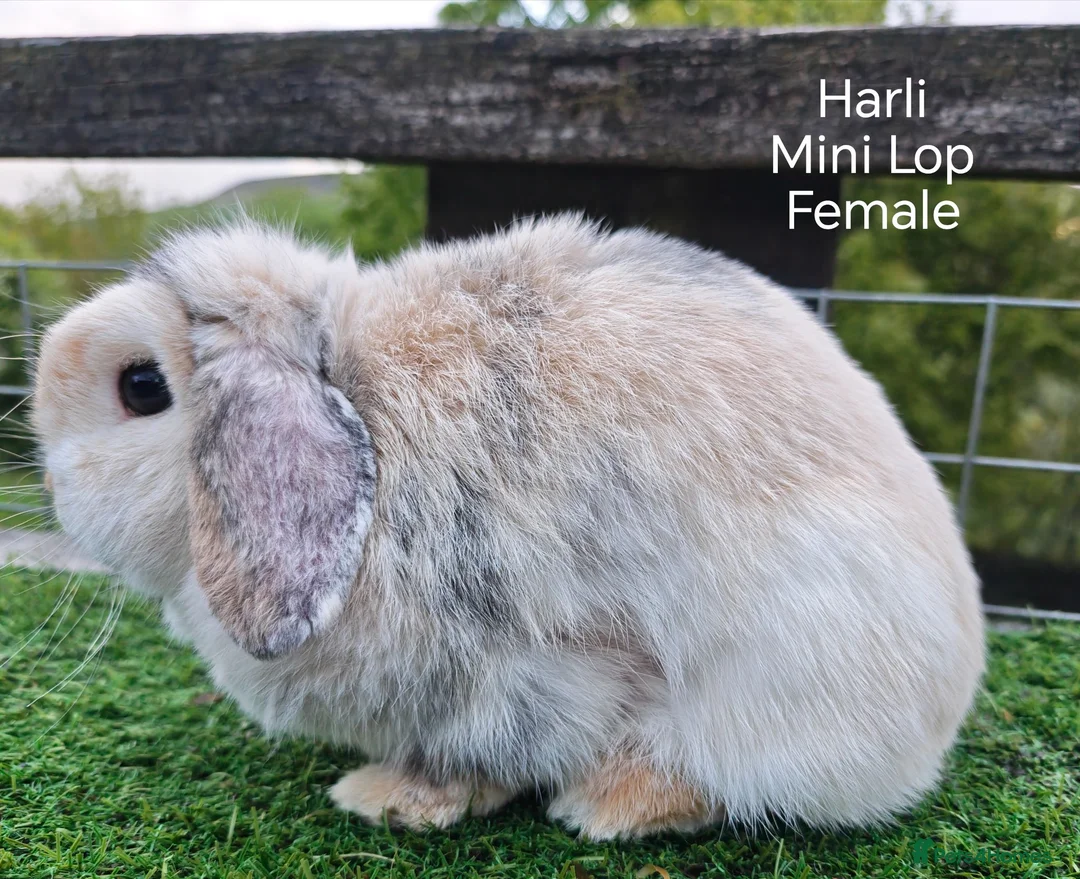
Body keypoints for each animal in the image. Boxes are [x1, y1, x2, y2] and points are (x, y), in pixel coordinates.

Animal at [31, 214, 985, 840]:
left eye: (141, 387)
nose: (54, 486)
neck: (360, 400)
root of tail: (936, 724)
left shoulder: (527, 669)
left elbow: (488, 750)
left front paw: (391, 798)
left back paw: (612, 803)